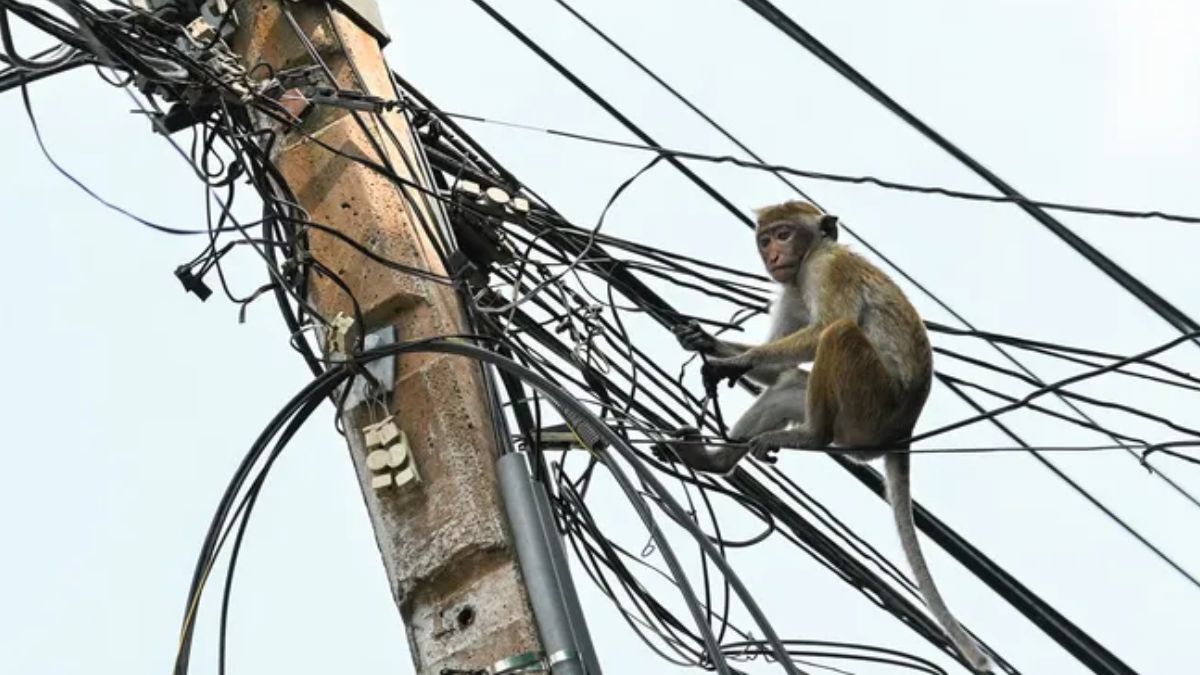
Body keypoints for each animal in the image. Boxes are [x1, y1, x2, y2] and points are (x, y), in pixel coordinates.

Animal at [669, 200, 992, 673]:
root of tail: (904, 432)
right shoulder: (791, 287)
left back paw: (813, 436)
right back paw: (714, 460)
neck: (808, 260)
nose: (773, 253)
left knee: (837, 334)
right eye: (766, 238)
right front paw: (706, 341)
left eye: (784, 234)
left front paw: (736, 361)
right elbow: (776, 370)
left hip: (869, 407)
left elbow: (825, 326)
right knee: (790, 384)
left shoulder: (827, 269)